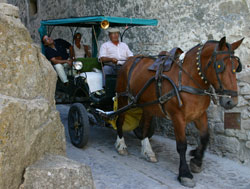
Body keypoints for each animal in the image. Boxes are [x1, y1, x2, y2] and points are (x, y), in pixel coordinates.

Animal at [114, 37, 243, 188]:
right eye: (219, 66)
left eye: (237, 66)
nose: (231, 102)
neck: (188, 78)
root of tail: (129, 60)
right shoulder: (177, 117)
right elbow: (182, 145)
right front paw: (185, 174)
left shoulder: (200, 114)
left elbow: (205, 137)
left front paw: (196, 160)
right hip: (123, 98)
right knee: (120, 119)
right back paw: (121, 145)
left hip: (147, 104)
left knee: (145, 125)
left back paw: (147, 151)